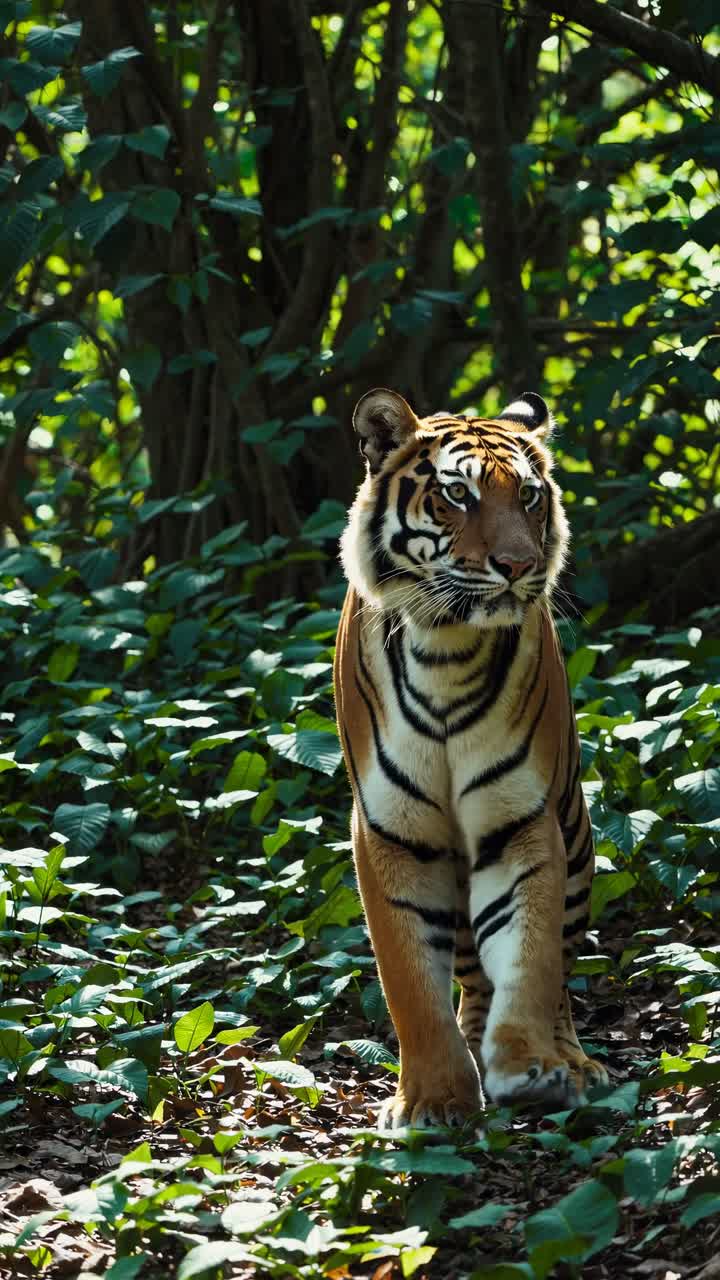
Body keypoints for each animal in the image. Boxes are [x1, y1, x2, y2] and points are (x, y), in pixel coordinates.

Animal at [333, 387, 609, 1129]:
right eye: (458, 494)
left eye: (531, 497)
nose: (517, 566)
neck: (447, 649)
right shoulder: (390, 833)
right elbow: (409, 983)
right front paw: (432, 1099)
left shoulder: (521, 820)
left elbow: (531, 957)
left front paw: (529, 1065)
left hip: (576, 830)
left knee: (555, 969)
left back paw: (568, 1061)